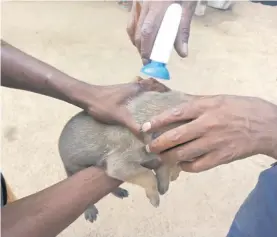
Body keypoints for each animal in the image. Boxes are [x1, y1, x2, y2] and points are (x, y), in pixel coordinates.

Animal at [57, 89, 189, 222]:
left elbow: (163, 167)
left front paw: (164, 184)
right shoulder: (120, 164)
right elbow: (148, 175)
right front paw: (154, 198)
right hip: (75, 172)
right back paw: (91, 210)